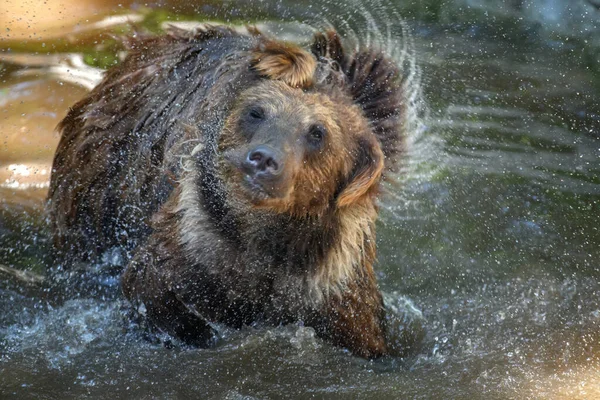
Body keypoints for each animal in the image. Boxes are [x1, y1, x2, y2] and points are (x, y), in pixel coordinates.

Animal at [45, 25, 404, 358]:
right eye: (256, 111)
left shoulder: (329, 284)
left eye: (317, 132)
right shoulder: (195, 243)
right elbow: (153, 287)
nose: (263, 159)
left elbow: (361, 334)